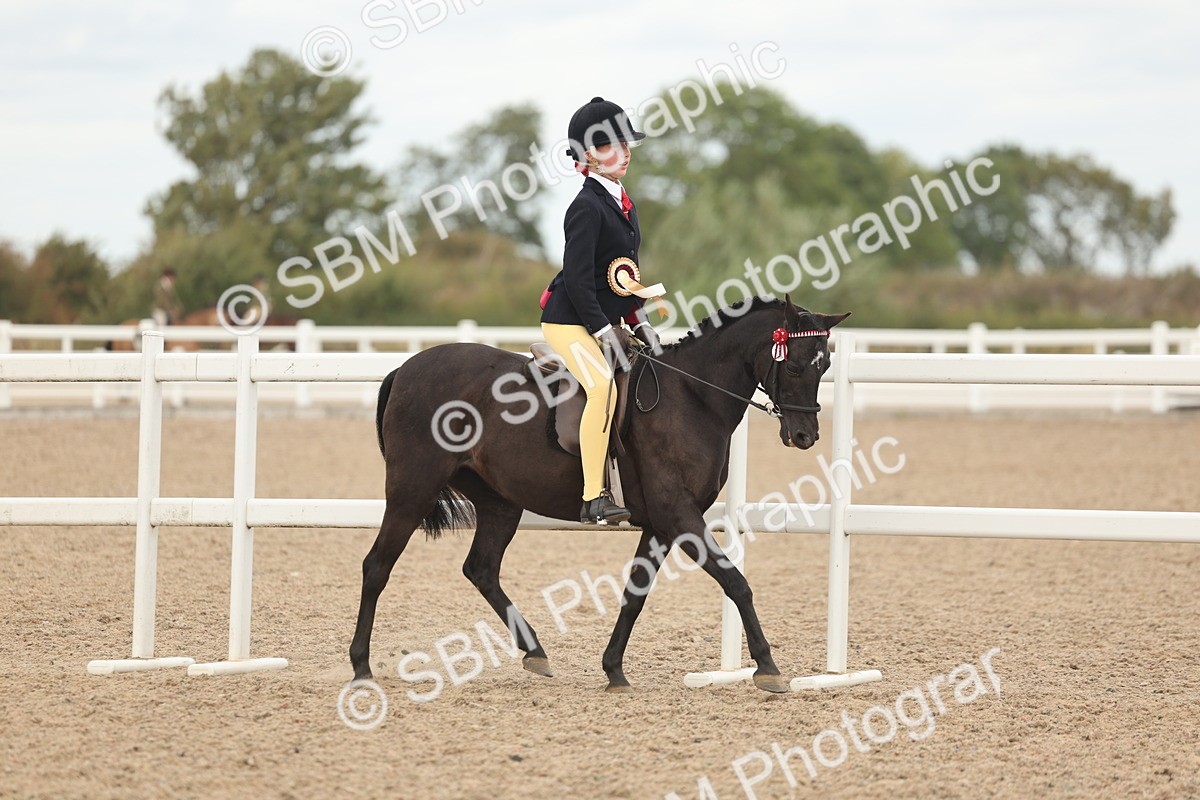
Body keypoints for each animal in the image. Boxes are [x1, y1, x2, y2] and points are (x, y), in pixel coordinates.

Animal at [351, 294, 851, 693]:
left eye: (825, 365)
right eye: (793, 363)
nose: (805, 435)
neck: (692, 396)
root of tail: (407, 367)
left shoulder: (660, 525)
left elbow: (635, 593)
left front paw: (614, 670)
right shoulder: (679, 516)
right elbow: (736, 583)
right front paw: (768, 667)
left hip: (500, 502)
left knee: (481, 569)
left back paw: (536, 652)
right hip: (412, 490)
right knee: (377, 567)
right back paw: (360, 667)